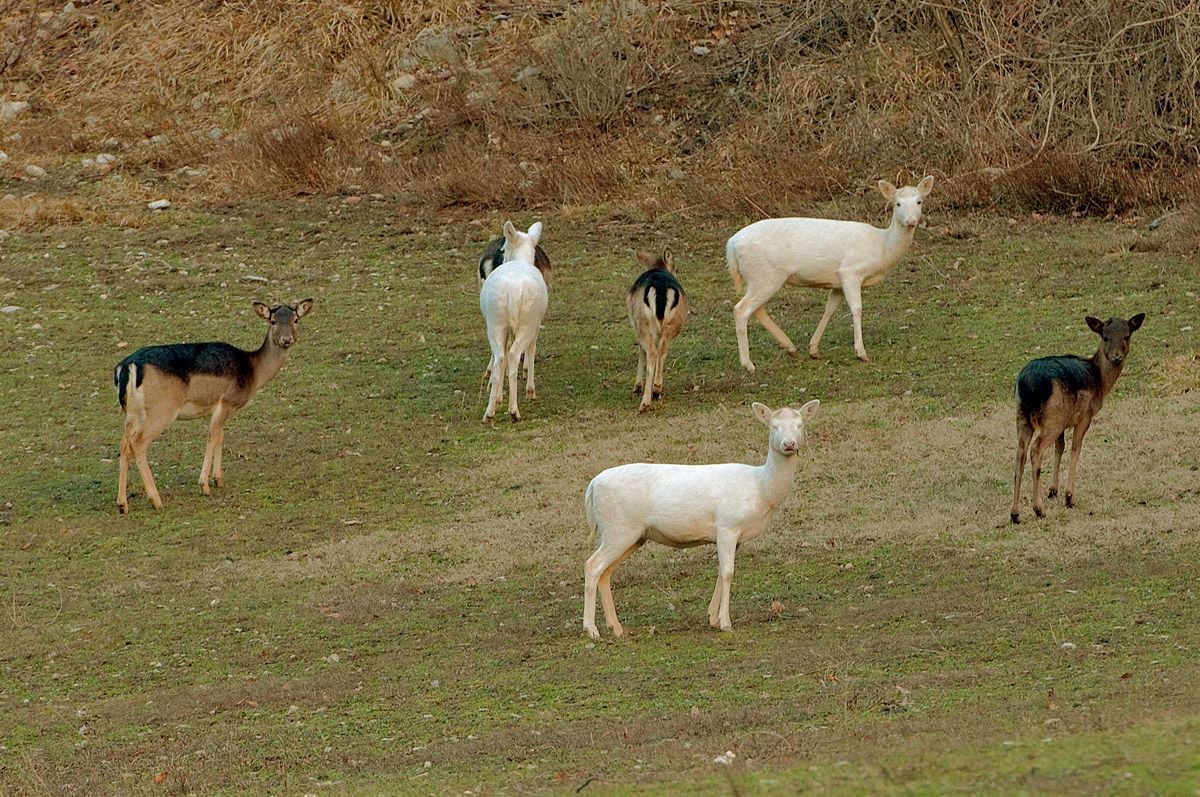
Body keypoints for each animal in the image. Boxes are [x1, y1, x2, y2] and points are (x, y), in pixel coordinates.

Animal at [114, 299, 314, 513]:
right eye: (273, 321)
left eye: (295, 319)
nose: (287, 339)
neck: (253, 371)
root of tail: (128, 367)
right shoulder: (225, 401)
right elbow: (213, 437)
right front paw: (204, 485)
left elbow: (220, 436)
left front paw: (218, 480)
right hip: (161, 410)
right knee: (138, 443)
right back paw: (156, 500)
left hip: (132, 413)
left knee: (125, 443)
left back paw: (122, 504)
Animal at [728, 175, 934, 370]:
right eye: (897, 203)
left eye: (919, 201)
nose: (911, 221)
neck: (881, 248)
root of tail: (732, 244)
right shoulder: (850, 271)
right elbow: (857, 308)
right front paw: (861, 353)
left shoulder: (837, 282)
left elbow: (829, 310)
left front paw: (814, 349)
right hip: (765, 275)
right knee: (741, 309)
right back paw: (748, 363)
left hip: (761, 278)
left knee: (757, 309)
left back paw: (790, 347)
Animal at [1010, 313, 1145, 523]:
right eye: (1105, 337)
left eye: (1127, 335)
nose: (1116, 356)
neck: (1100, 381)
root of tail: (1029, 384)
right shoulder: (1085, 416)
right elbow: (1075, 448)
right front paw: (1069, 497)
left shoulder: (1065, 422)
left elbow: (1060, 447)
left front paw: (1053, 491)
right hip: (1052, 417)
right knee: (1035, 450)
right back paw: (1039, 509)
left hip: (1023, 417)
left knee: (1020, 454)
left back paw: (1015, 514)